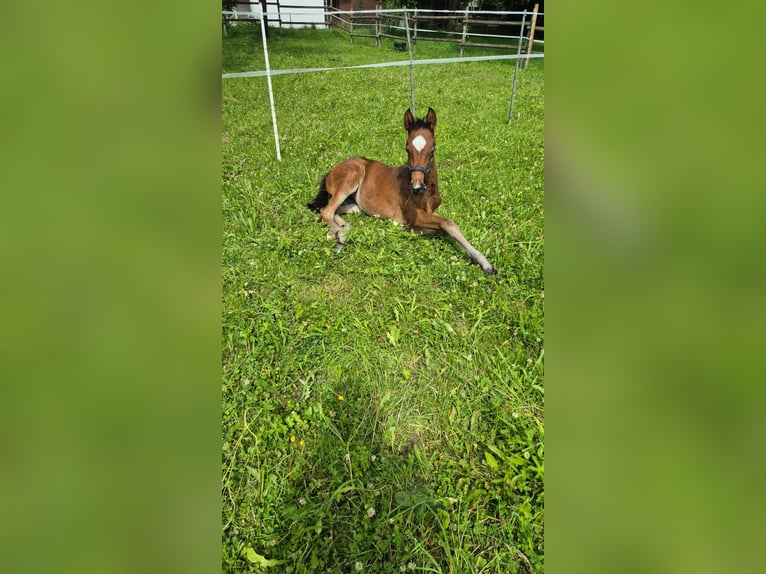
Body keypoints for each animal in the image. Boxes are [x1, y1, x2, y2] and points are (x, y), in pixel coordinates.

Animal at [307, 108, 497, 275]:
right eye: (407, 149)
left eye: (432, 149)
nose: (417, 186)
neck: (427, 193)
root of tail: (332, 170)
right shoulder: (414, 215)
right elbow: (447, 224)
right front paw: (486, 264)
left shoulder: (429, 212)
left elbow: (441, 228)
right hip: (350, 179)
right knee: (326, 211)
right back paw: (339, 235)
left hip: (353, 203)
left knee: (333, 210)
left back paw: (344, 230)